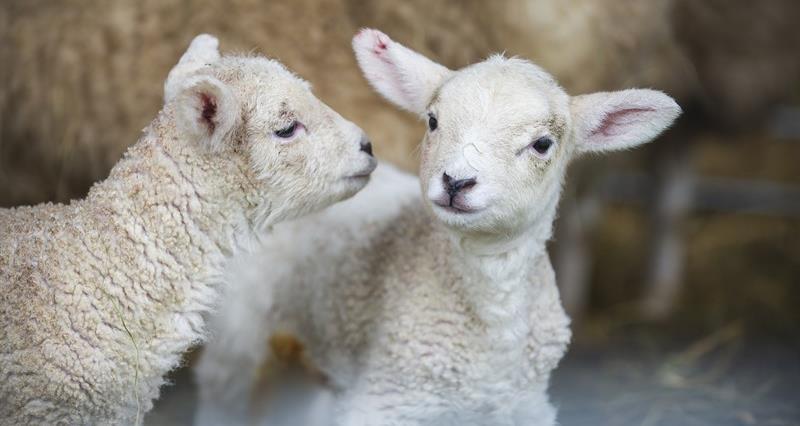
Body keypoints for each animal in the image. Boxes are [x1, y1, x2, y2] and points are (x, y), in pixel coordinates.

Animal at [194, 29, 680, 426]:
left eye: (543, 144)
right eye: (432, 121)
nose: (456, 182)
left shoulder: (525, 404)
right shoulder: (388, 400)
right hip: (239, 337)